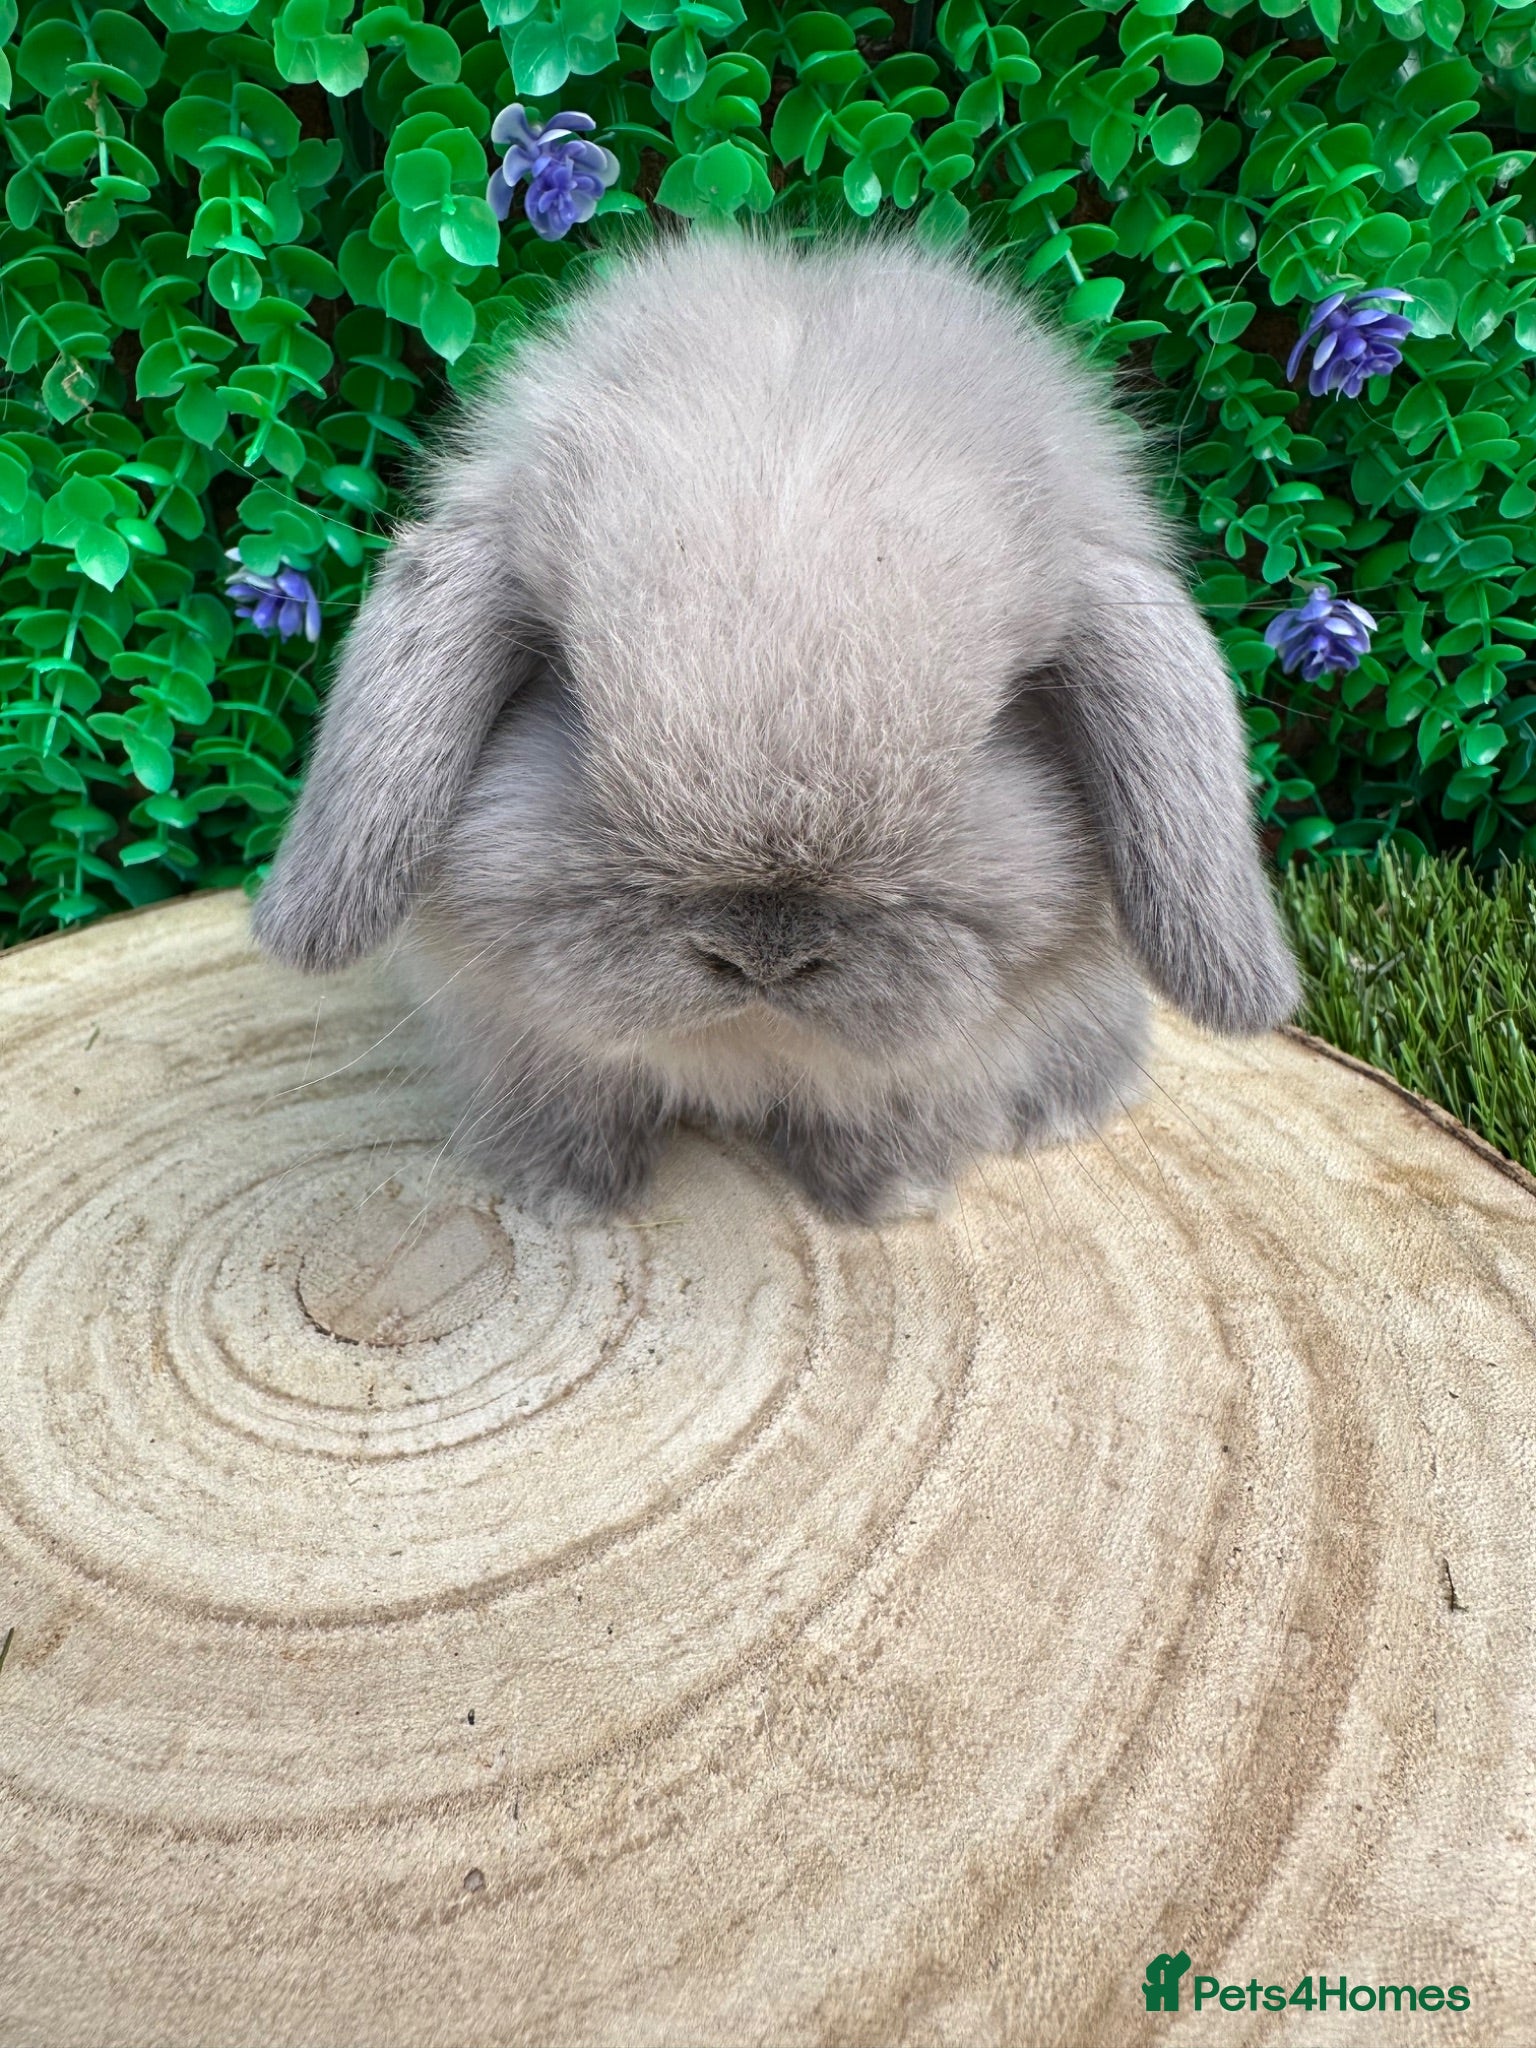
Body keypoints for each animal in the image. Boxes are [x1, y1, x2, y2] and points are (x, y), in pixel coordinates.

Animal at [252, 229, 1299, 1224]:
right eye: (567, 688)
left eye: (999, 720)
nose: (764, 951)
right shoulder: (521, 1042)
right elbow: (571, 1110)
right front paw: (561, 1197)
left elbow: (883, 1112)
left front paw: (892, 1197)